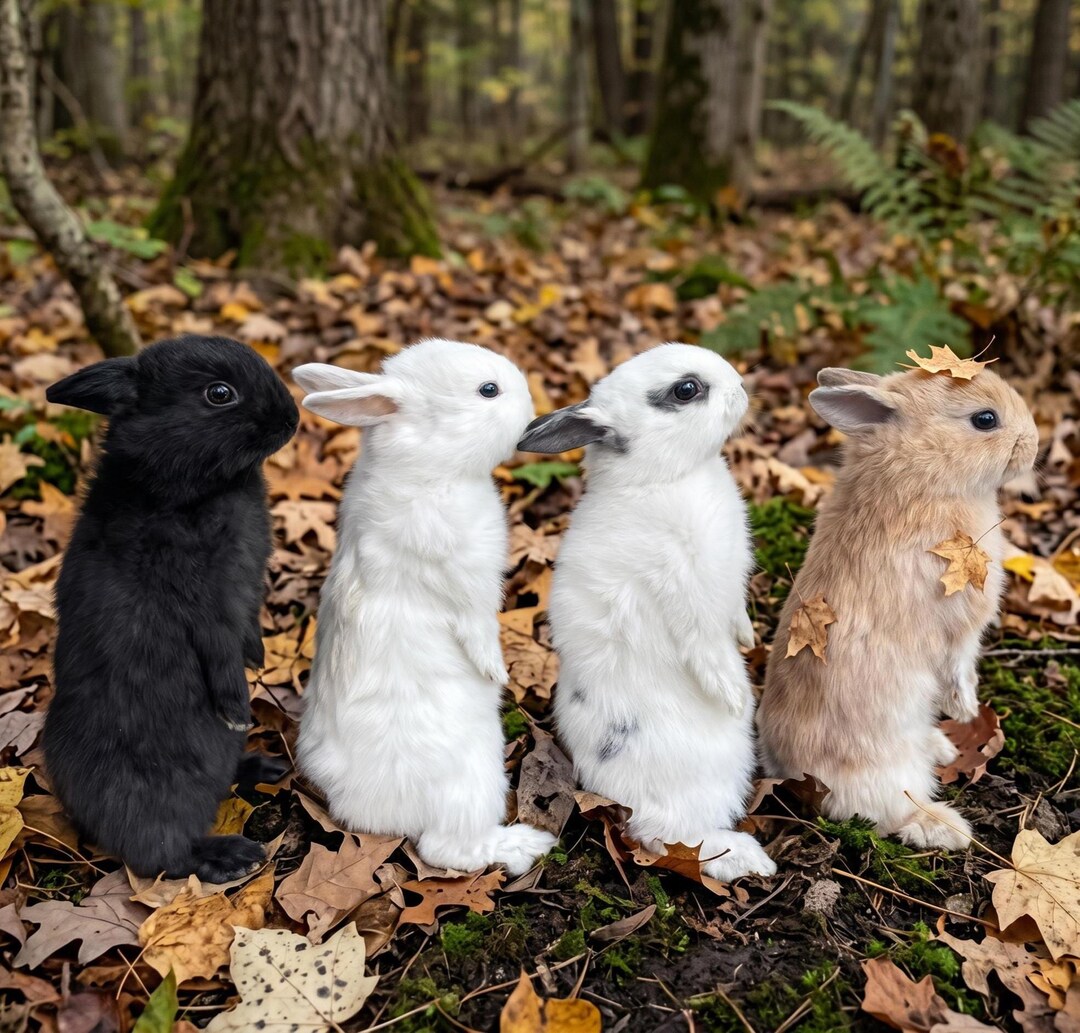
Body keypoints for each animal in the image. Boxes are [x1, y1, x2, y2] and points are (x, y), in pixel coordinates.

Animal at [44, 335, 298, 882]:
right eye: (219, 394)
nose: (290, 419)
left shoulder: (242, 601)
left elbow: (246, 631)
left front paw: (259, 656)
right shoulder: (205, 605)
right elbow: (219, 653)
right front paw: (235, 708)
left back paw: (266, 765)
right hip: (159, 799)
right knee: (162, 855)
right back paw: (232, 856)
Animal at [292, 339, 557, 875]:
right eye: (488, 390)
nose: (532, 407)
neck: (430, 470)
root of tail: (365, 811)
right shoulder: (467, 584)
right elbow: (477, 628)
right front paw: (496, 672)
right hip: (475, 778)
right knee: (446, 849)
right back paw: (524, 845)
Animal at [517, 343, 777, 882]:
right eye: (686, 390)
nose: (742, 386)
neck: (662, 480)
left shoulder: (725, 595)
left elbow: (733, 617)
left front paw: (746, 639)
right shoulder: (686, 590)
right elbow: (704, 647)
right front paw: (733, 697)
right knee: (674, 838)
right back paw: (751, 859)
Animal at [757, 366, 1039, 850]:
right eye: (985, 419)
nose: (1035, 442)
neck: (921, 474)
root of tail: (790, 772)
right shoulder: (962, 625)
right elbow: (960, 664)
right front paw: (966, 710)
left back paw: (941, 746)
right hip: (887, 771)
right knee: (886, 813)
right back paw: (947, 827)